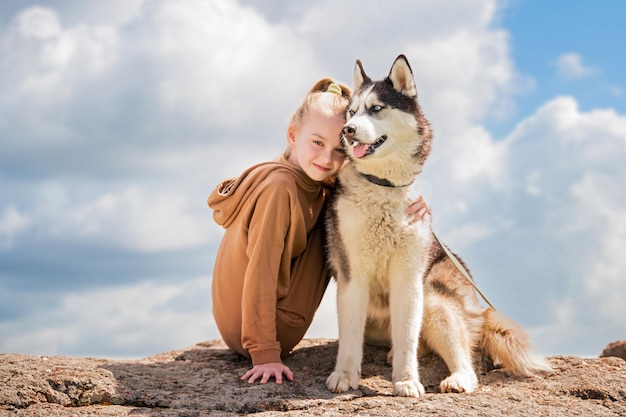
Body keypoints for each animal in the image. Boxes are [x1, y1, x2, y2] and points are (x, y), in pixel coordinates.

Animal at [324, 55, 548, 396]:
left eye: (376, 108)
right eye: (352, 112)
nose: (347, 130)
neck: (383, 186)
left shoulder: (408, 278)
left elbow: (407, 337)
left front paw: (406, 381)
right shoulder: (352, 275)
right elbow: (350, 338)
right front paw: (345, 376)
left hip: (433, 298)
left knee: (463, 358)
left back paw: (457, 378)